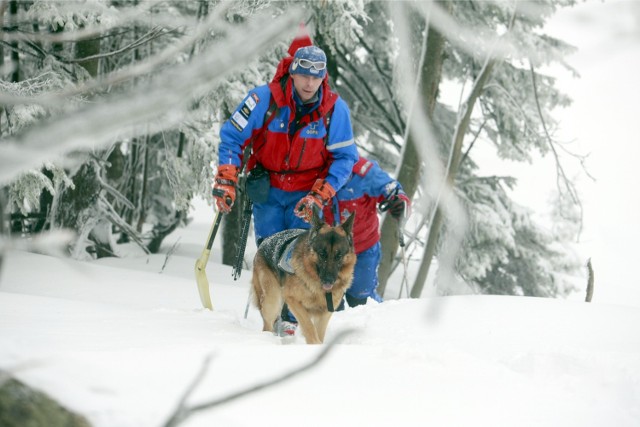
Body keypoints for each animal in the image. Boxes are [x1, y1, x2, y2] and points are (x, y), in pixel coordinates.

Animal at [252, 209, 358, 346]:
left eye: (338, 255)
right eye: (322, 253)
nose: (328, 280)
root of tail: (264, 241)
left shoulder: (326, 312)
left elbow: (319, 332)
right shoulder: (293, 301)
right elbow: (308, 326)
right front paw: (314, 343)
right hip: (273, 300)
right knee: (267, 325)